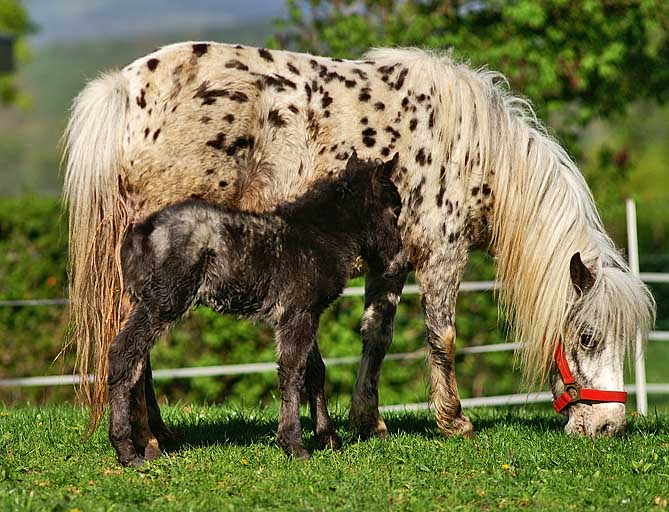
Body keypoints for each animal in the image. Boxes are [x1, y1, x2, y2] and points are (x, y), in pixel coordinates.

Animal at [108, 154, 408, 466]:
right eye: (395, 210)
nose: (401, 263)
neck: (320, 234)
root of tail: (140, 231)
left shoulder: (301, 313)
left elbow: (315, 370)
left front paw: (328, 438)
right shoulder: (300, 313)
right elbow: (292, 371)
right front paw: (294, 444)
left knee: (139, 364)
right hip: (163, 302)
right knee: (123, 355)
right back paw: (127, 450)